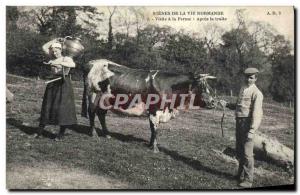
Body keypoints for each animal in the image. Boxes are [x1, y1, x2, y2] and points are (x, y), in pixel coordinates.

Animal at [81, 58, 217, 153]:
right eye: (201, 86)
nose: (214, 102)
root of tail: (91, 63)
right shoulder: (155, 110)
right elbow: (155, 128)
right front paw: (155, 148)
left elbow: (153, 128)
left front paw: (151, 145)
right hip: (94, 95)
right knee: (92, 113)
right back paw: (94, 134)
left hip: (106, 101)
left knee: (101, 115)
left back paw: (107, 134)